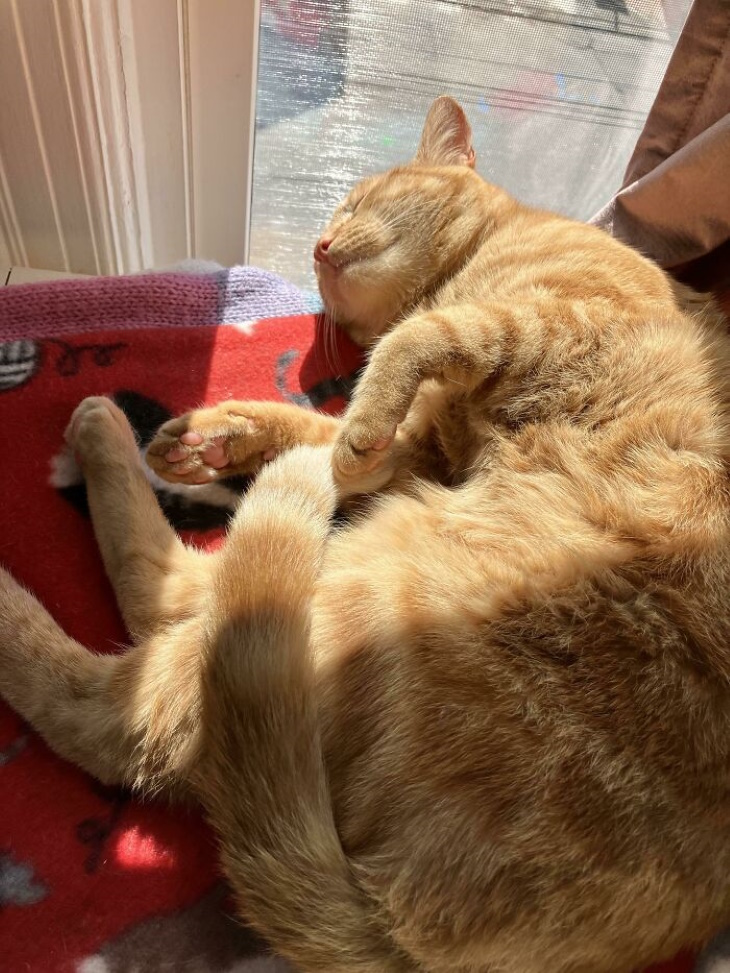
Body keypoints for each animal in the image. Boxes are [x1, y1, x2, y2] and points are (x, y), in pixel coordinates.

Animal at [1, 97, 728, 972]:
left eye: (355, 201)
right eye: (328, 228)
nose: (319, 245)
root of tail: (401, 932)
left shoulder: (545, 323)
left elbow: (413, 346)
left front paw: (314, 425)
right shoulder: (421, 450)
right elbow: (329, 423)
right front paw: (220, 434)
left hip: (362, 581)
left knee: (130, 668)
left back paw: (94, 447)